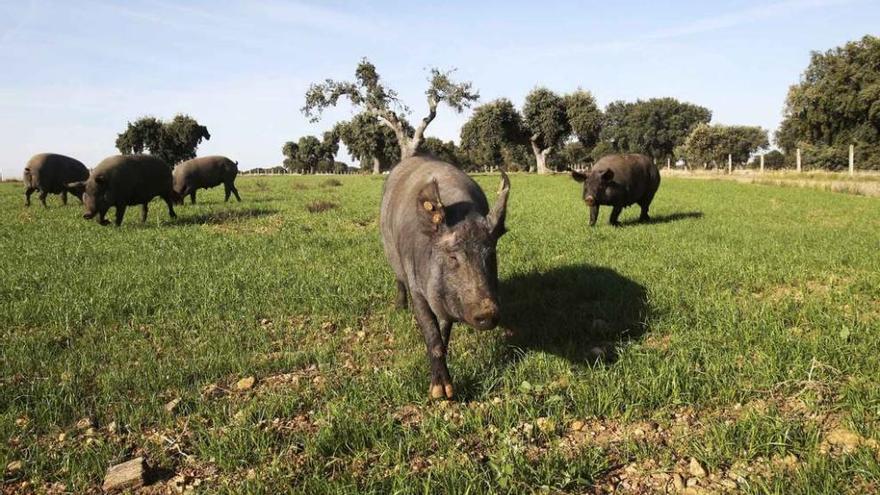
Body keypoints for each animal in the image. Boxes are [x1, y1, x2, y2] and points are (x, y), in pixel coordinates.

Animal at [378, 155, 508, 400]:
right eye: (452, 257)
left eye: (490, 254)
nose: (488, 311)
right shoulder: (418, 289)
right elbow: (432, 334)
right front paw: (441, 394)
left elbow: (444, 331)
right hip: (390, 251)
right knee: (398, 279)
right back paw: (399, 308)